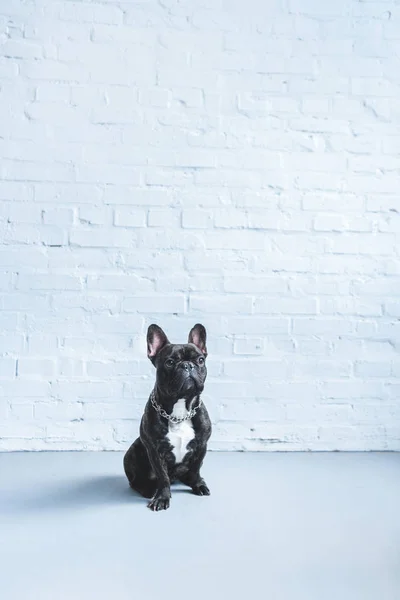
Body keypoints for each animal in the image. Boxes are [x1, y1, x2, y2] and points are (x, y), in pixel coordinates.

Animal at [123, 324, 212, 510]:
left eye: (200, 360)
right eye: (170, 362)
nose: (187, 365)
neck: (180, 410)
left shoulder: (202, 445)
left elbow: (196, 469)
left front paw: (198, 484)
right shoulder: (155, 450)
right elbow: (162, 477)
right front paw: (162, 497)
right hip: (131, 452)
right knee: (136, 481)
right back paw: (147, 489)